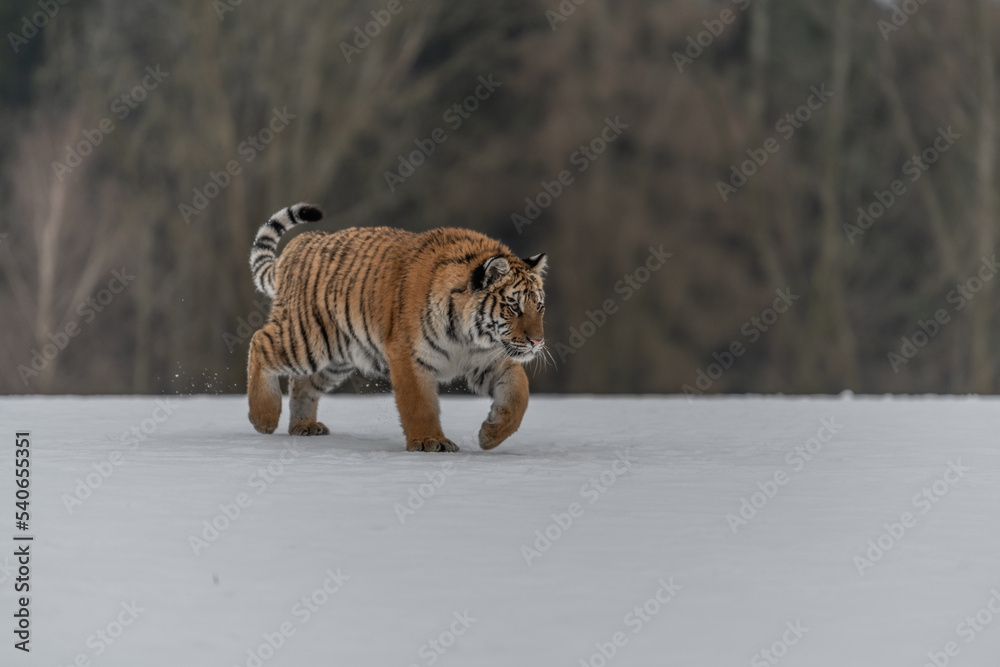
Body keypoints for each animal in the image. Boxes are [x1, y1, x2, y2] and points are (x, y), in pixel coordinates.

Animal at [247, 203, 548, 452]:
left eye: (540, 307)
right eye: (514, 306)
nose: (537, 342)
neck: (470, 337)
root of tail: (301, 242)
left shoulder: (488, 360)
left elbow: (518, 393)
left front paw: (491, 435)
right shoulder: (408, 356)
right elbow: (420, 405)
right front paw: (430, 442)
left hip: (335, 359)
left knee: (302, 385)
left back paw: (303, 427)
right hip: (306, 340)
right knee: (259, 342)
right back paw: (263, 417)